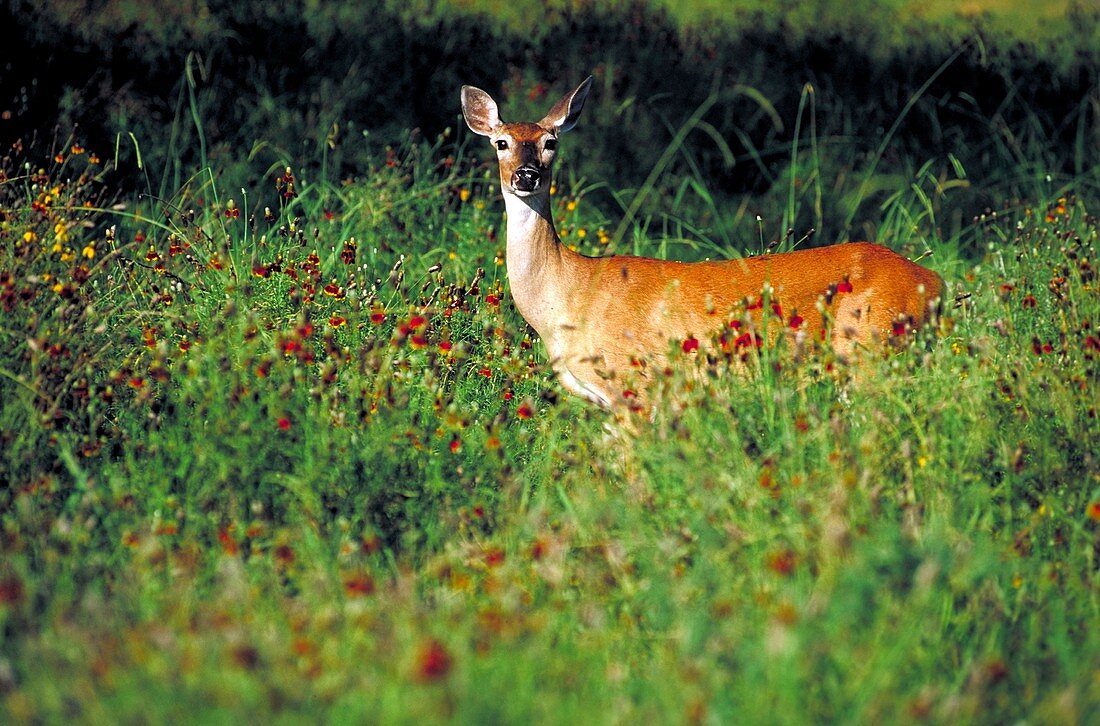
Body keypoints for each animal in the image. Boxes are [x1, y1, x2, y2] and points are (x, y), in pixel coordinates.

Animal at [459, 76, 941, 411]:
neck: (568, 294)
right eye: (501, 143)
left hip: (870, 348)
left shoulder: (633, 384)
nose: (526, 175)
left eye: (550, 143)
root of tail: (934, 282)